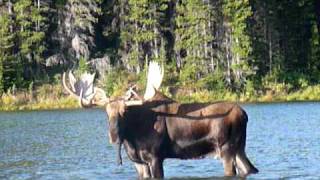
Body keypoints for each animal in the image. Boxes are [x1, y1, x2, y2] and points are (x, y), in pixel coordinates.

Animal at [62, 62, 258, 179]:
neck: (132, 139)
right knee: (249, 168)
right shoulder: (138, 162)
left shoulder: (155, 157)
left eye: (125, 111)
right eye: (106, 112)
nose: (114, 135)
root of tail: (244, 114)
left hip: (226, 148)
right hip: (238, 147)